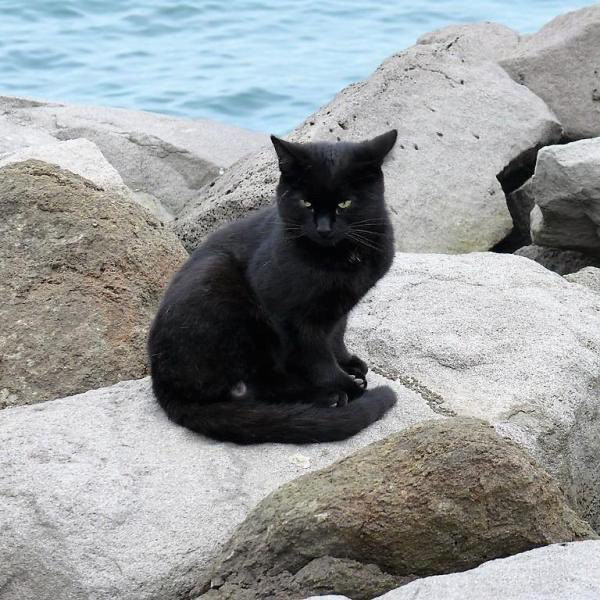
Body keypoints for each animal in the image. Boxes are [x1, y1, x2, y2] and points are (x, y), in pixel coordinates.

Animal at [147, 129, 396, 442]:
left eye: (345, 204)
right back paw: (327, 397)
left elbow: (336, 336)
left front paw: (348, 362)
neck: (341, 260)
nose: (324, 228)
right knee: (258, 386)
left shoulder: (339, 308)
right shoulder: (293, 316)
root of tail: (163, 387)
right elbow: (318, 357)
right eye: (306, 203)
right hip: (220, 285)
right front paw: (345, 385)